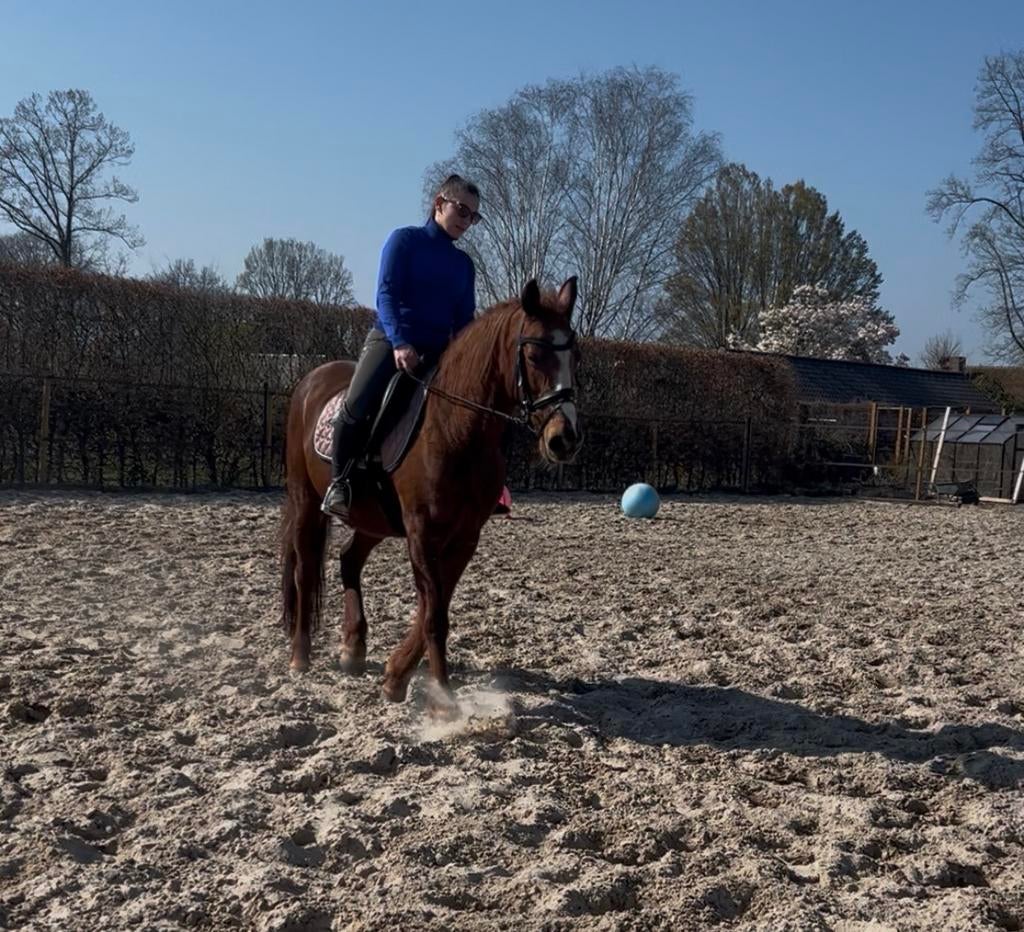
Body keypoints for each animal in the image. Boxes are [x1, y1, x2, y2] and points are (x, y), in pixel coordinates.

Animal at [279, 277, 582, 714]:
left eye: (574, 354)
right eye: (534, 353)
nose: (564, 439)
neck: (456, 428)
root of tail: (310, 381)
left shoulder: (465, 535)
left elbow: (433, 607)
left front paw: (395, 677)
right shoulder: (421, 530)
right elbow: (435, 614)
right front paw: (443, 699)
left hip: (374, 518)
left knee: (349, 559)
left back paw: (353, 648)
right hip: (306, 502)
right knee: (305, 569)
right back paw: (300, 657)